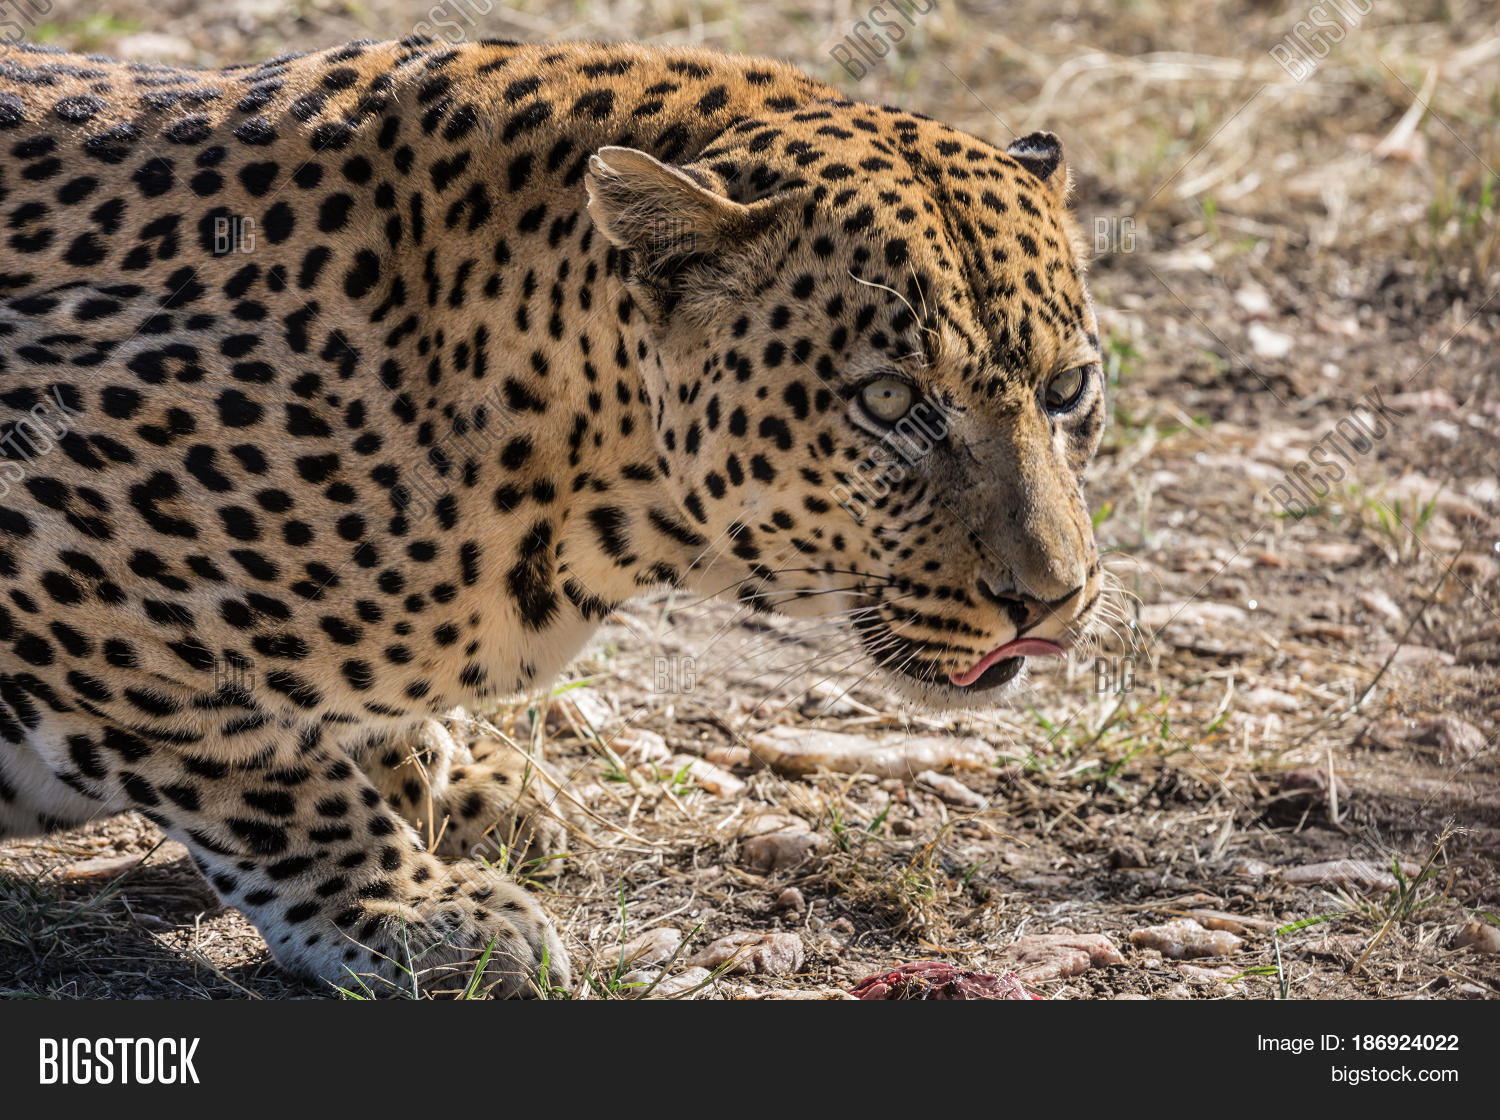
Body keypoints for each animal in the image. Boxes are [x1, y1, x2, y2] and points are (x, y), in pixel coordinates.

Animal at [0, 35, 1107, 996]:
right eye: (887, 401)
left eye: (1068, 391)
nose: (1051, 601)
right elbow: (257, 761)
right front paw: (416, 911)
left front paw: (451, 781)